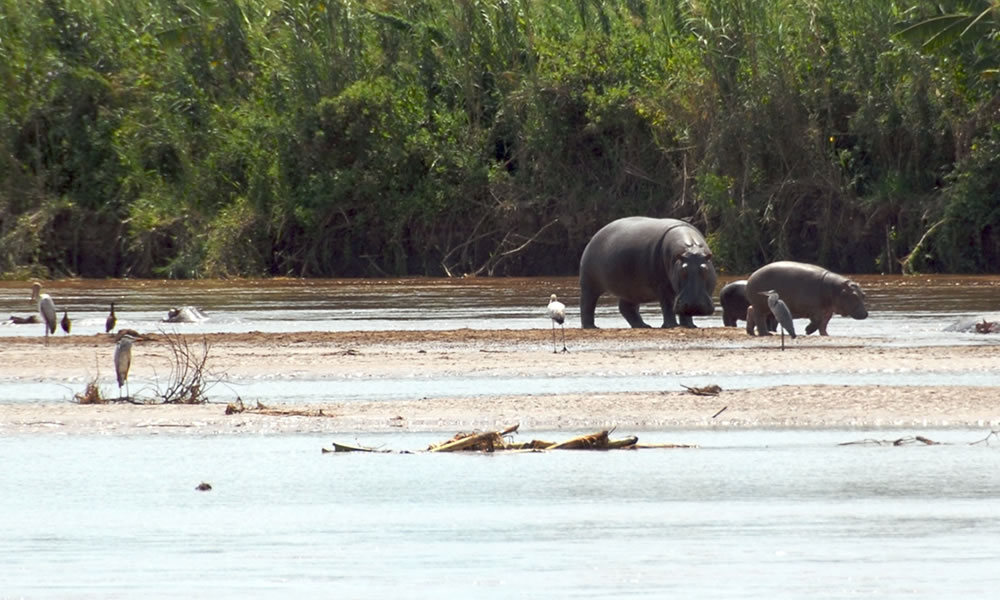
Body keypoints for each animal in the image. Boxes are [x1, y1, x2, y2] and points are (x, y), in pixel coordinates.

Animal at [580, 217, 720, 328]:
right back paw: (591, 327)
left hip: (633, 289)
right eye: (682, 271)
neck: (691, 249)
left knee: (626, 307)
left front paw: (690, 326)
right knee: (587, 304)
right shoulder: (662, 286)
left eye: (705, 270)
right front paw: (671, 326)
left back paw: (643, 325)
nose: (694, 305)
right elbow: (667, 305)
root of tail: (595, 235)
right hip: (589, 283)